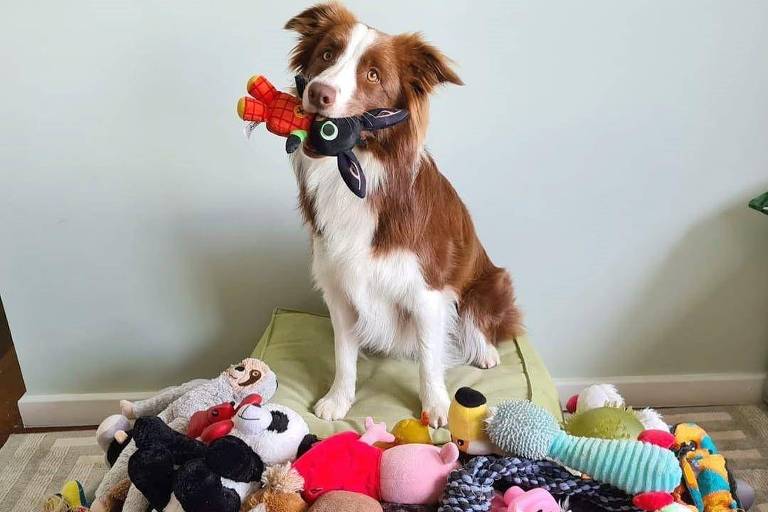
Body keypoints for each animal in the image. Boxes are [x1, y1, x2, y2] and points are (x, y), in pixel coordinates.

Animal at [286, 2, 520, 426]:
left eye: (373, 74)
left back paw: (485, 352)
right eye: (327, 54)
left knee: (481, 322)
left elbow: (429, 358)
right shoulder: (339, 287)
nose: (318, 92)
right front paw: (339, 400)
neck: (359, 169)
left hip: (489, 281)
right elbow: (343, 355)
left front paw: (438, 407)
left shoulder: (426, 289)